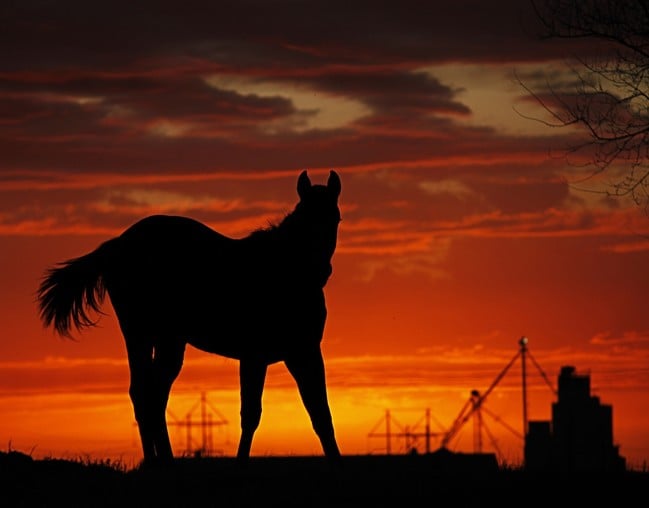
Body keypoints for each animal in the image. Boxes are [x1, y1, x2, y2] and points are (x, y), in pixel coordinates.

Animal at [37, 170, 343, 466]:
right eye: (305, 217)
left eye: (335, 218)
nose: (321, 270)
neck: (284, 269)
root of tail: (117, 245)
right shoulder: (254, 356)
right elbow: (251, 415)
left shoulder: (304, 353)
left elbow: (321, 414)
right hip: (140, 334)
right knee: (146, 394)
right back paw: (157, 461)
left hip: (164, 341)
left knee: (152, 394)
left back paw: (162, 459)